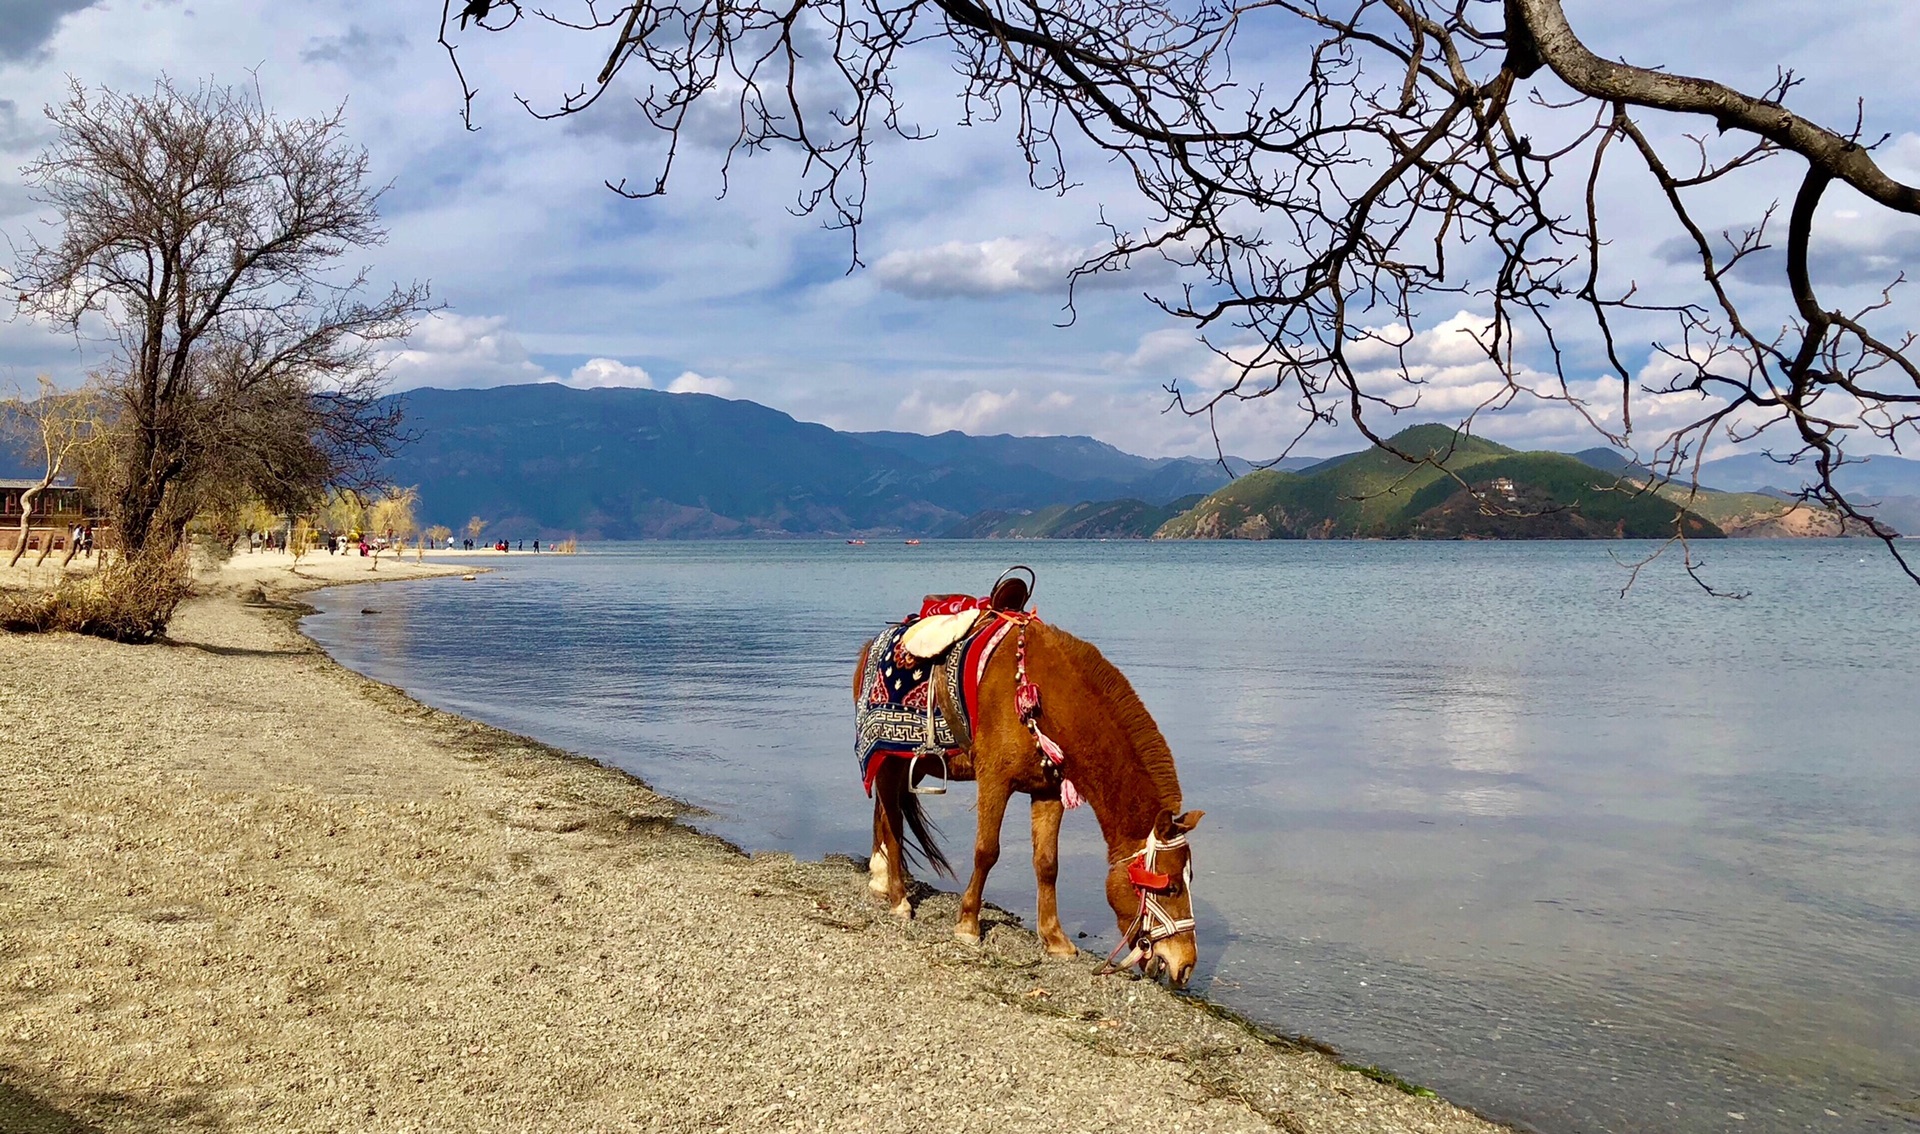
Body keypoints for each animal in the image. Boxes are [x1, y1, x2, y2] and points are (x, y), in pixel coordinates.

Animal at [852, 621, 1198, 982]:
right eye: (1172, 887)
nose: (1186, 964)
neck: (1050, 701)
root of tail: (869, 646)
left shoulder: (1048, 792)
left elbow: (1047, 864)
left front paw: (1055, 939)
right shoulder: (994, 781)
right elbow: (986, 851)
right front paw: (968, 925)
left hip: (910, 766)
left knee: (883, 811)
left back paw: (879, 876)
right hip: (889, 760)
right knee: (892, 820)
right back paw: (898, 898)